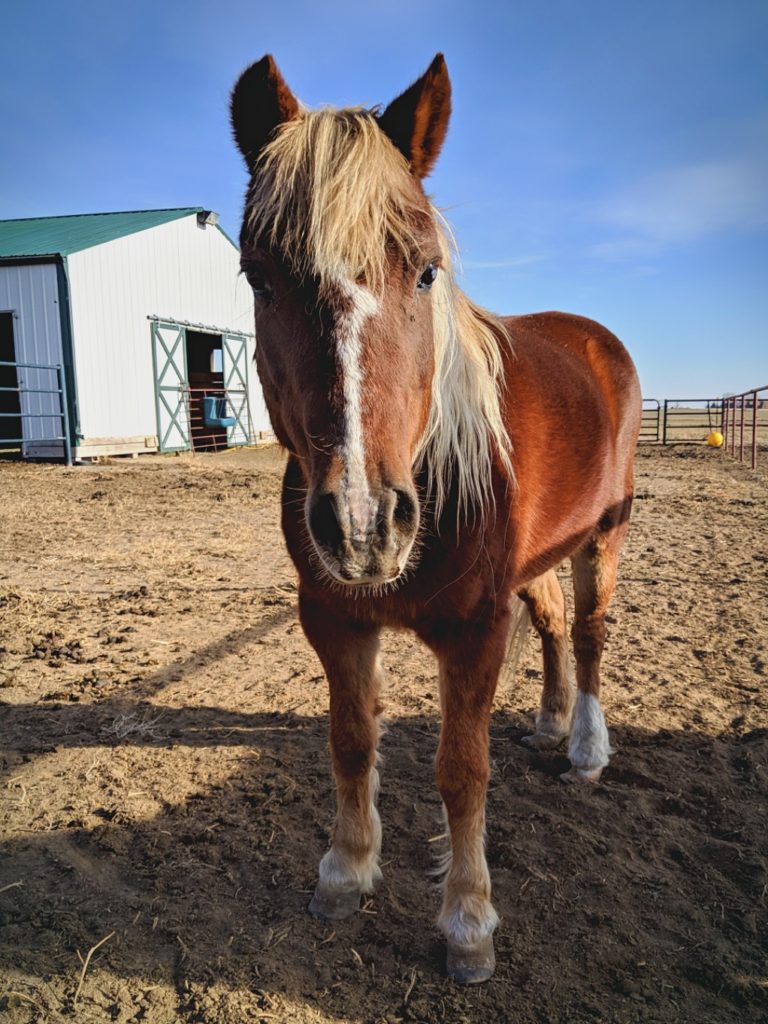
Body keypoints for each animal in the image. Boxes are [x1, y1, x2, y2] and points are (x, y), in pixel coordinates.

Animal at [230, 54, 643, 983]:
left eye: (424, 271)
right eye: (258, 276)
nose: (363, 525)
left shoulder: (476, 629)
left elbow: (463, 770)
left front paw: (467, 924)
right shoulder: (334, 617)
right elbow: (352, 740)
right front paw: (346, 873)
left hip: (604, 534)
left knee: (590, 634)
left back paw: (585, 750)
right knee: (554, 624)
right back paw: (550, 724)